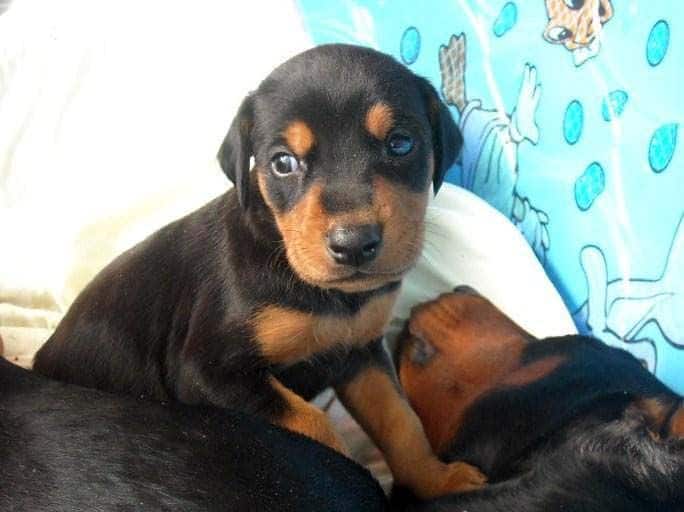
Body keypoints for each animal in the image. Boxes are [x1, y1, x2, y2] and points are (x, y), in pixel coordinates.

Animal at [30, 45, 480, 500]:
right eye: (282, 163)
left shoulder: (362, 352)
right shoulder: (207, 372)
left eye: (401, 143)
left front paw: (439, 480)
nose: (353, 243)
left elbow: (401, 420)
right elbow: (314, 427)